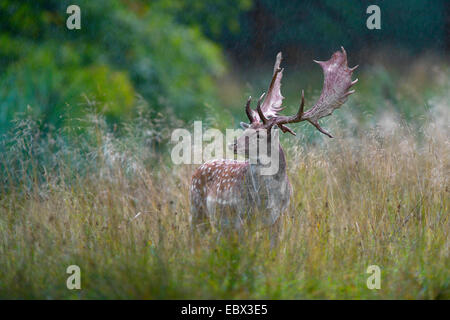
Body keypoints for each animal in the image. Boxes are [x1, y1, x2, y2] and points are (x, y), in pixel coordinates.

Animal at [190, 47, 358, 246]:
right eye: (248, 129)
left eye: (259, 134)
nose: (234, 144)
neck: (268, 201)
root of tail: (199, 168)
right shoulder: (242, 217)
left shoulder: (279, 218)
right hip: (197, 208)